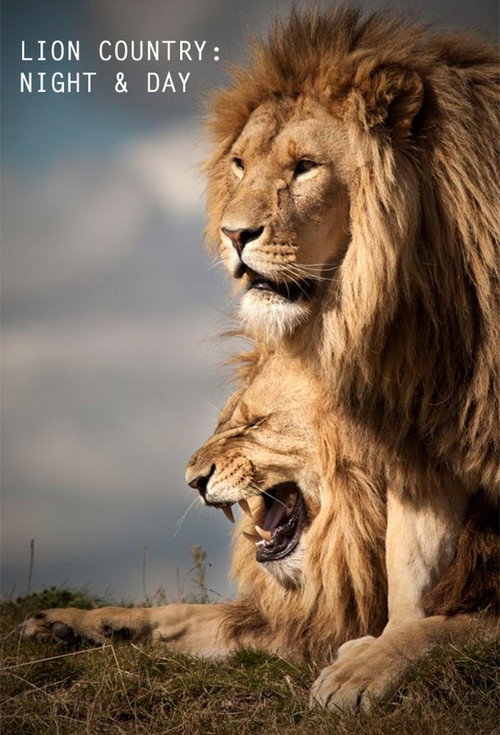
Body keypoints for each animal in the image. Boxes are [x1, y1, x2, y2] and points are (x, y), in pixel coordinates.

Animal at [23, 347, 498, 711]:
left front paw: (358, 674)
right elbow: (183, 614)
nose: (192, 480)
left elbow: (441, 629)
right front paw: (82, 623)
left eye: (255, 423)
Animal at [203, 6, 499, 706]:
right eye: (239, 164)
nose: (233, 234)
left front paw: (366, 667)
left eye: (306, 167)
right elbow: (412, 579)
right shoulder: (421, 435)